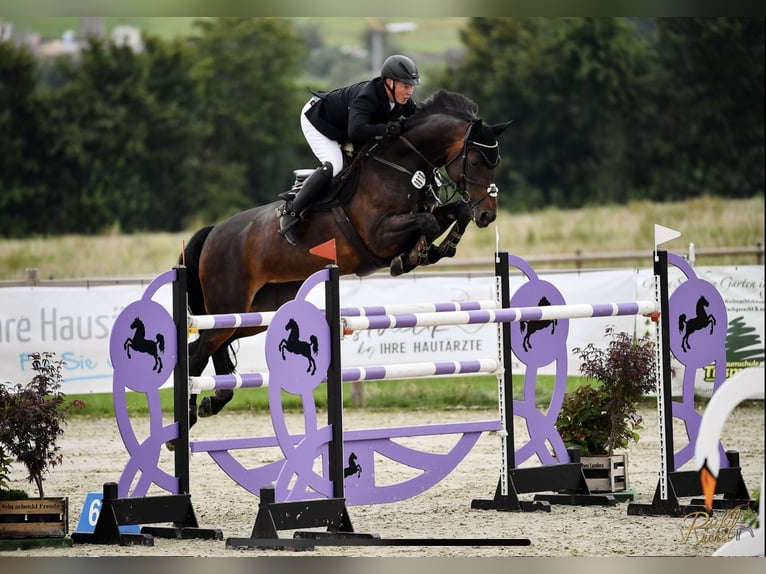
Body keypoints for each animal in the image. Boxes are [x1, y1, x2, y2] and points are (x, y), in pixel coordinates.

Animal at [183, 90, 512, 432]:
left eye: (496, 162)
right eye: (474, 160)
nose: (487, 215)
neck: (400, 166)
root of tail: (213, 232)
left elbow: (454, 211)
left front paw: (439, 249)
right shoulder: (379, 235)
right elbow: (428, 223)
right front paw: (411, 256)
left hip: (256, 312)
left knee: (207, 346)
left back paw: (211, 403)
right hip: (229, 303)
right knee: (200, 351)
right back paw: (187, 419)